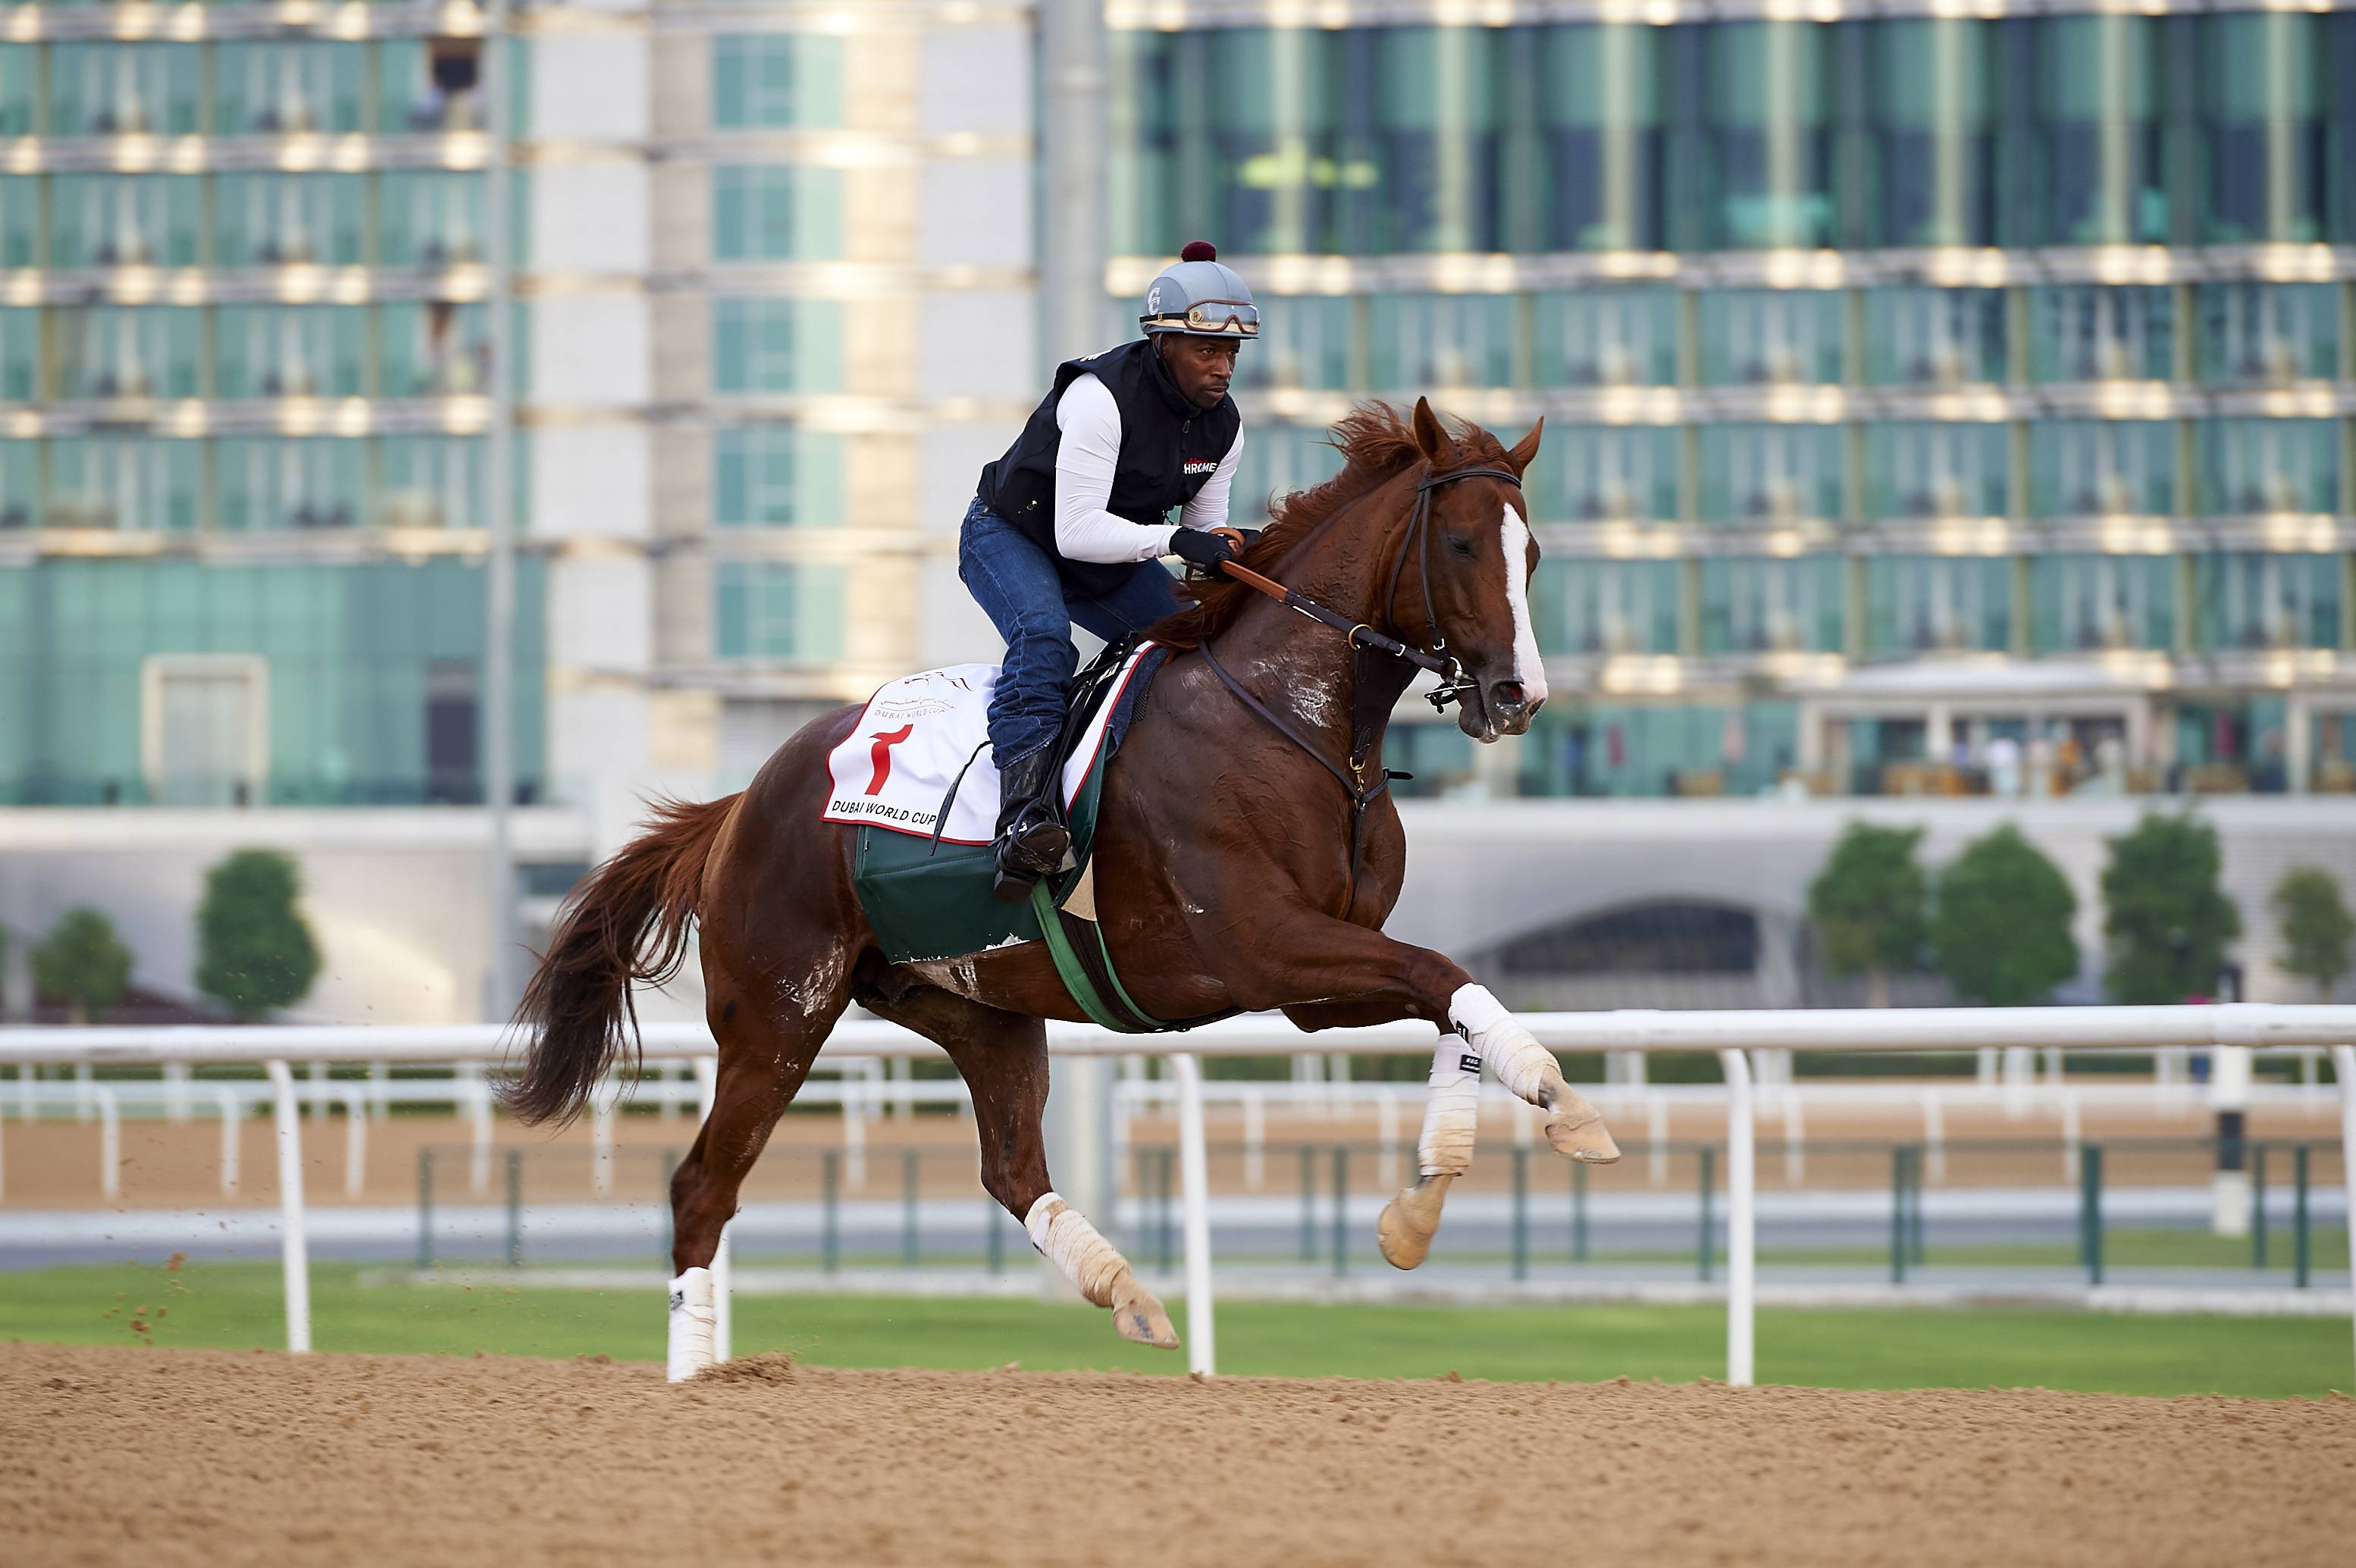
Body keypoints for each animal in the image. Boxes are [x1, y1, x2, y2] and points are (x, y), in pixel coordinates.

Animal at [502, 398, 1621, 1375]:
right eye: (1464, 545)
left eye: (1531, 552)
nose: (1518, 695)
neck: (1293, 722)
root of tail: (739, 803)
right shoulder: (1264, 944)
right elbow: (1440, 972)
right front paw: (1566, 1101)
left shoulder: (1307, 984)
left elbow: (1447, 995)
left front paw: (1419, 1208)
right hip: (777, 1011)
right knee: (703, 1185)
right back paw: (697, 1382)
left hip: (973, 1006)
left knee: (1010, 1167)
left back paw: (1129, 1293)